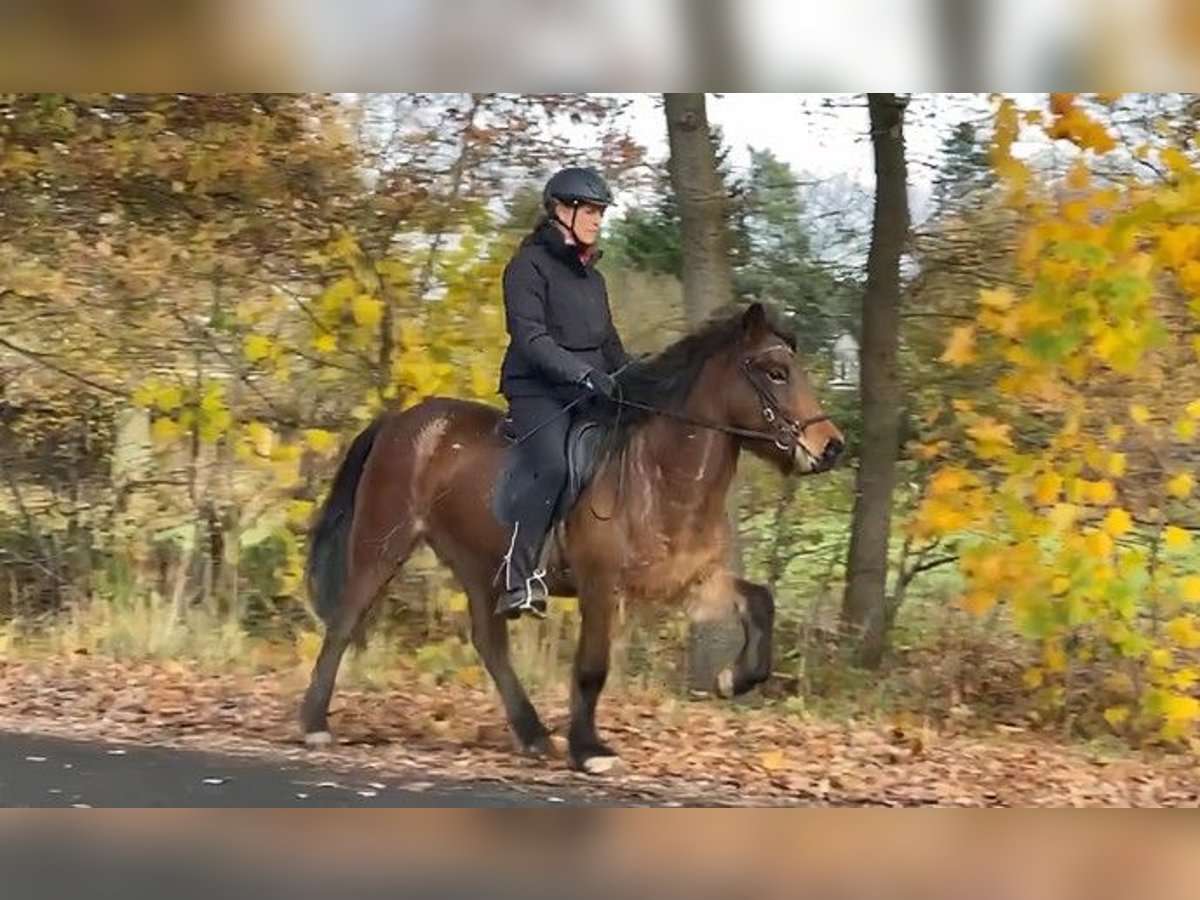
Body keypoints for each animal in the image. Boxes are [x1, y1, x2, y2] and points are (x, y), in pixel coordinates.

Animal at [299, 301, 845, 773]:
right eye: (775, 372)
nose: (831, 447)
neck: (658, 472)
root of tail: (400, 421)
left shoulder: (687, 581)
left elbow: (760, 602)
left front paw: (733, 680)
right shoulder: (600, 585)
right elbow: (591, 667)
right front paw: (589, 750)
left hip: (479, 564)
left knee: (489, 644)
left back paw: (534, 735)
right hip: (382, 544)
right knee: (345, 622)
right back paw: (313, 724)